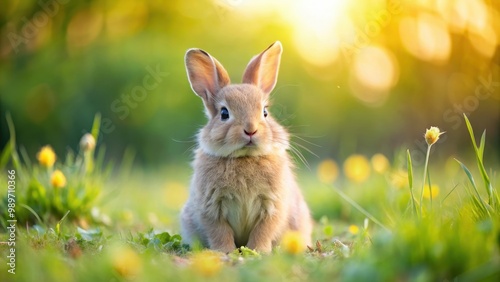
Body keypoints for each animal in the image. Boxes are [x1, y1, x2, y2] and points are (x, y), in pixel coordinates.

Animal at [180, 40, 312, 253]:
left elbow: (263, 231)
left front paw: (258, 251)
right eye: (224, 113)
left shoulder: (272, 206)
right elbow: (220, 231)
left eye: (265, 112)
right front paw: (225, 251)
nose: (251, 129)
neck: (245, 156)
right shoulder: (211, 207)